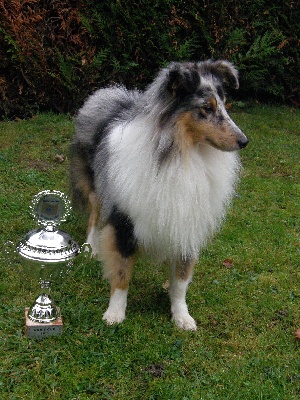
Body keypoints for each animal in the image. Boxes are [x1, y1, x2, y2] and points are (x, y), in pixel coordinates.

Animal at [71, 61, 248, 332]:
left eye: (225, 105)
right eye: (206, 108)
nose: (244, 141)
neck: (180, 155)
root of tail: (108, 96)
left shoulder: (187, 224)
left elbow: (181, 281)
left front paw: (181, 316)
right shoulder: (123, 221)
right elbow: (121, 274)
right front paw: (114, 314)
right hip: (97, 189)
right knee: (94, 216)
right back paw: (91, 248)